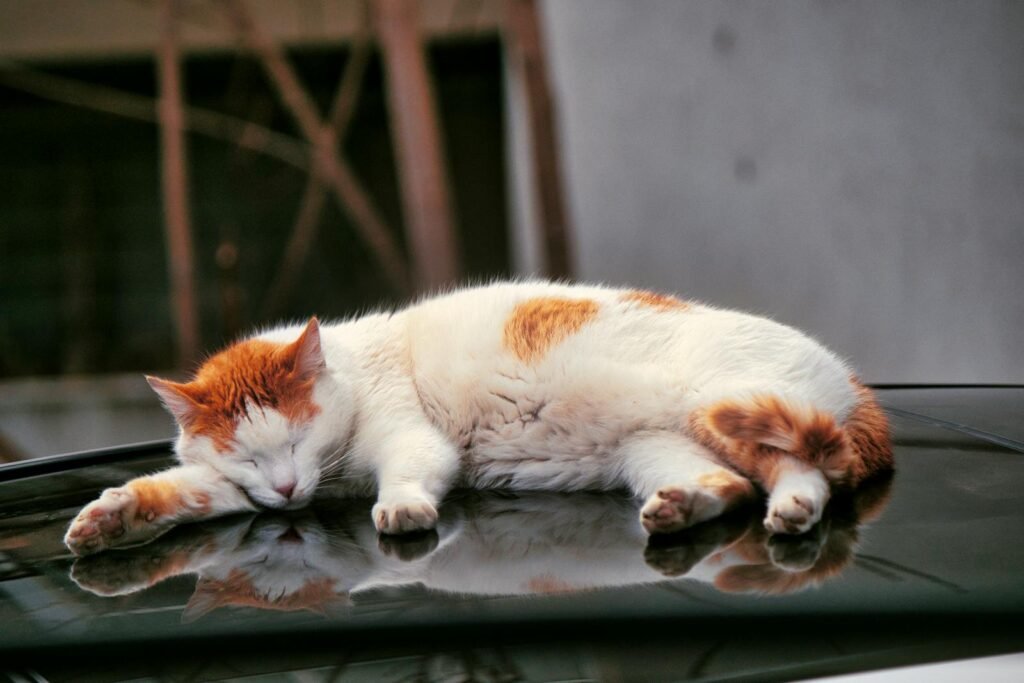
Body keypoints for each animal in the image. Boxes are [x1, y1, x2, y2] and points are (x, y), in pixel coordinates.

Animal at [64, 280, 892, 557]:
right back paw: (683, 508)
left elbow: (407, 471)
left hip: (732, 409)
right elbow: (177, 491)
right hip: (660, 451)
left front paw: (400, 507)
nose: (291, 491)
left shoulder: (409, 436)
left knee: (806, 468)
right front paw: (111, 517)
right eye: (246, 457)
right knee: (727, 487)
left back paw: (794, 508)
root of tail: (851, 375)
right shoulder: (234, 489)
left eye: (296, 437)